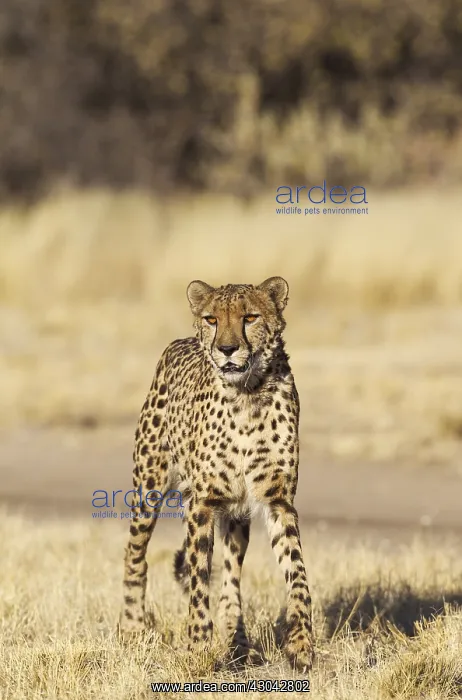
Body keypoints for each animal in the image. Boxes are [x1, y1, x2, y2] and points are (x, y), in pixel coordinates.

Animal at [119, 276, 314, 672]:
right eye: (212, 319)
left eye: (250, 317)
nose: (226, 349)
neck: (248, 394)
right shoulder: (202, 504)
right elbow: (198, 583)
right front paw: (197, 649)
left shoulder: (278, 502)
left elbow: (297, 574)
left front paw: (300, 645)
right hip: (149, 489)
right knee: (135, 554)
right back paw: (131, 628)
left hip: (238, 516)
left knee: (231, 577)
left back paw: (238, 644)